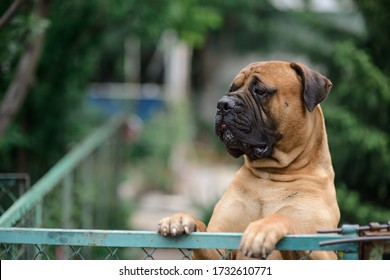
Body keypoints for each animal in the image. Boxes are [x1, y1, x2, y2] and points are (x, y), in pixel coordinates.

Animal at [157, 61, 340, 260]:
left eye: (260, 90)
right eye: (232, 89)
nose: (223, 104)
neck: (271, 174)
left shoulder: (319, 249)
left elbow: (284, 217)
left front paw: (263, 228)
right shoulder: (219, 245)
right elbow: (203, 230)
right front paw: (181, 219)